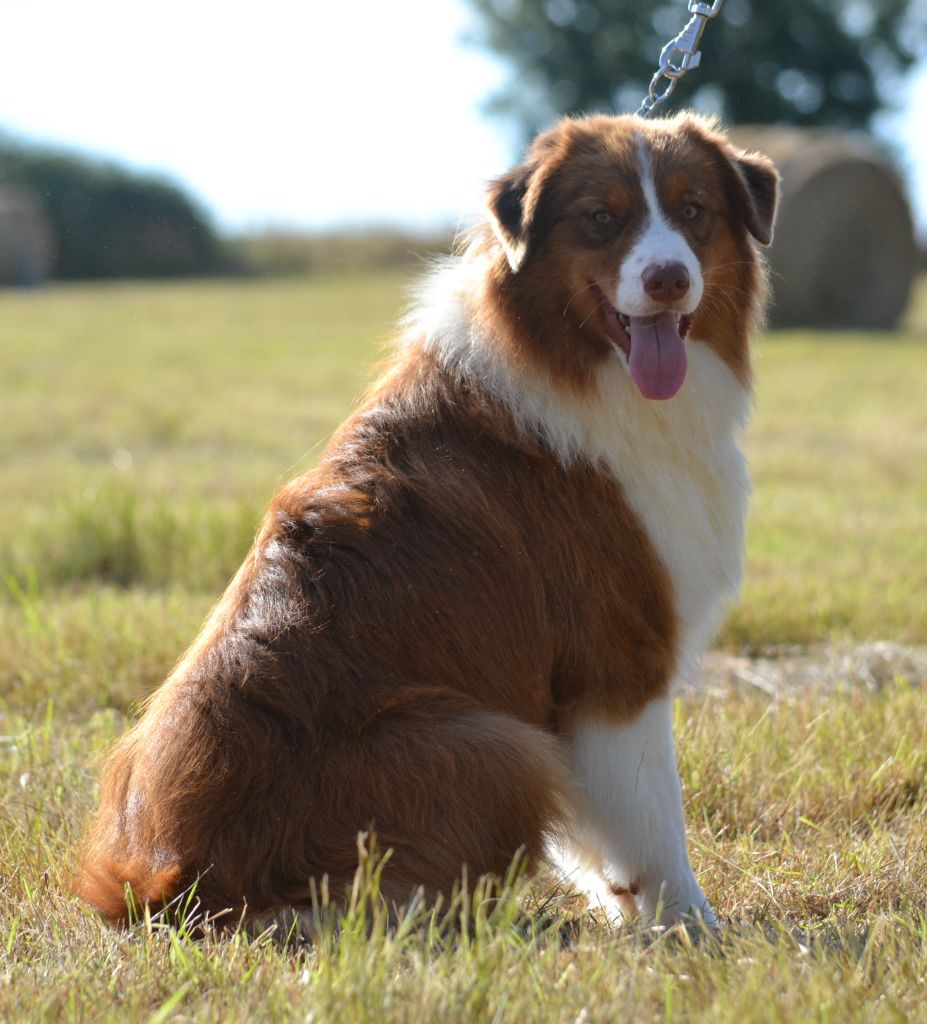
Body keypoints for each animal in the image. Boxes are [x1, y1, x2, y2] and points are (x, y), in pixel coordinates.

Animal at [75, 110, 778, 929]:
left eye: (693, 209)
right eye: (602, 218)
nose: (668, 278)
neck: (570, 358)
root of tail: (166, 883)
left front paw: (625, 903)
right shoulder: (618, 659)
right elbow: (656, 816)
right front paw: (691, 926)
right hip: (496, 742)